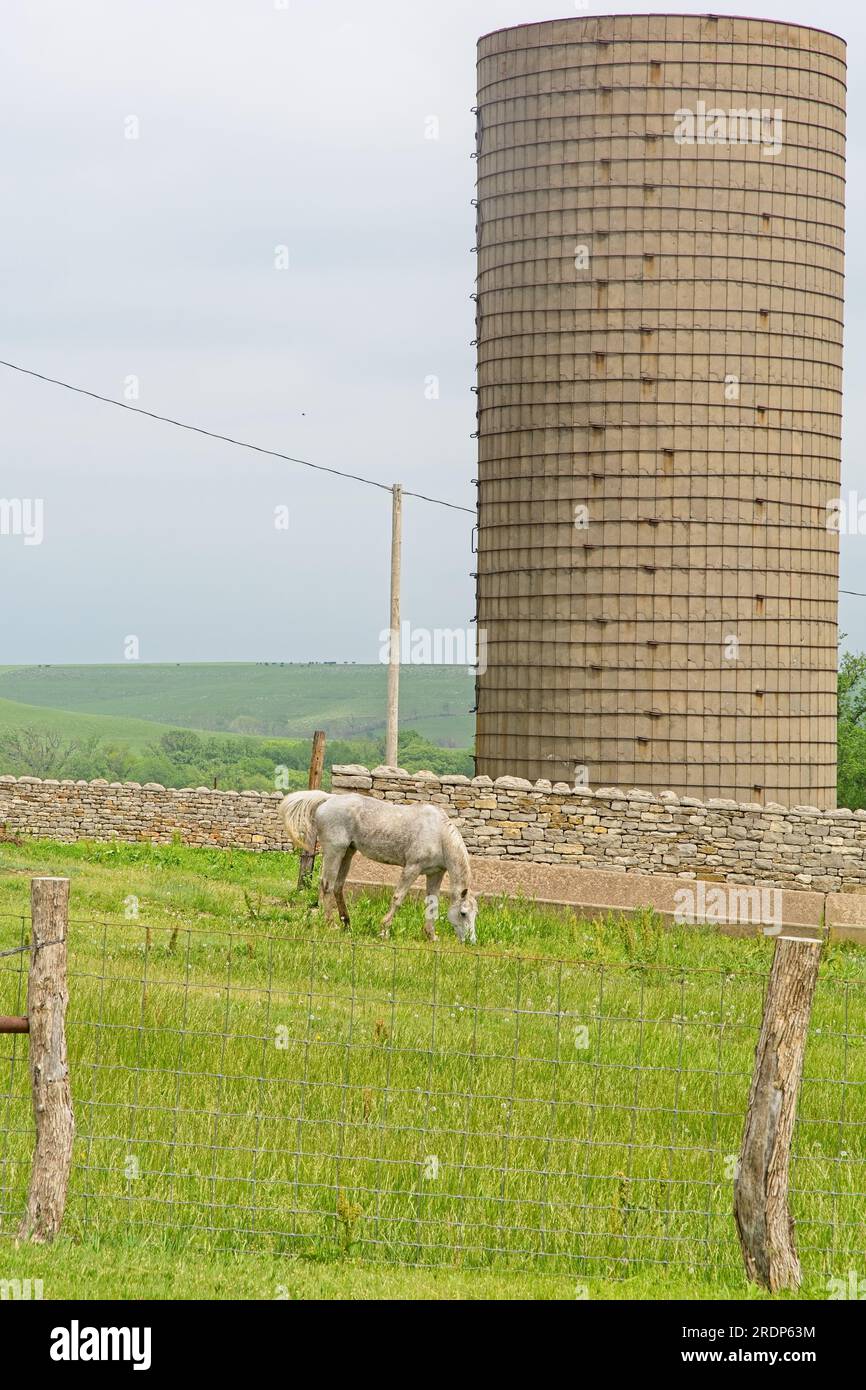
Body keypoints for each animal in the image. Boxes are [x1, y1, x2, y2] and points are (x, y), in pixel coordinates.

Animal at [279, 795, 478, 945]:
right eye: (463, 913)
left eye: (475, 914)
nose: (471, 941)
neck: (439, 834)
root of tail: (329, 799)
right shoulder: (412, 868)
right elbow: (398, 898)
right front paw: (384, 930)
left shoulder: (434, 873)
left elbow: (432, 904)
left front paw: (431, 936)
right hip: (335, 852)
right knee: (327, 885)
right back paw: (330, 924)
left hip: (347, 853)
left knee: (338, 886)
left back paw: (346, 923)